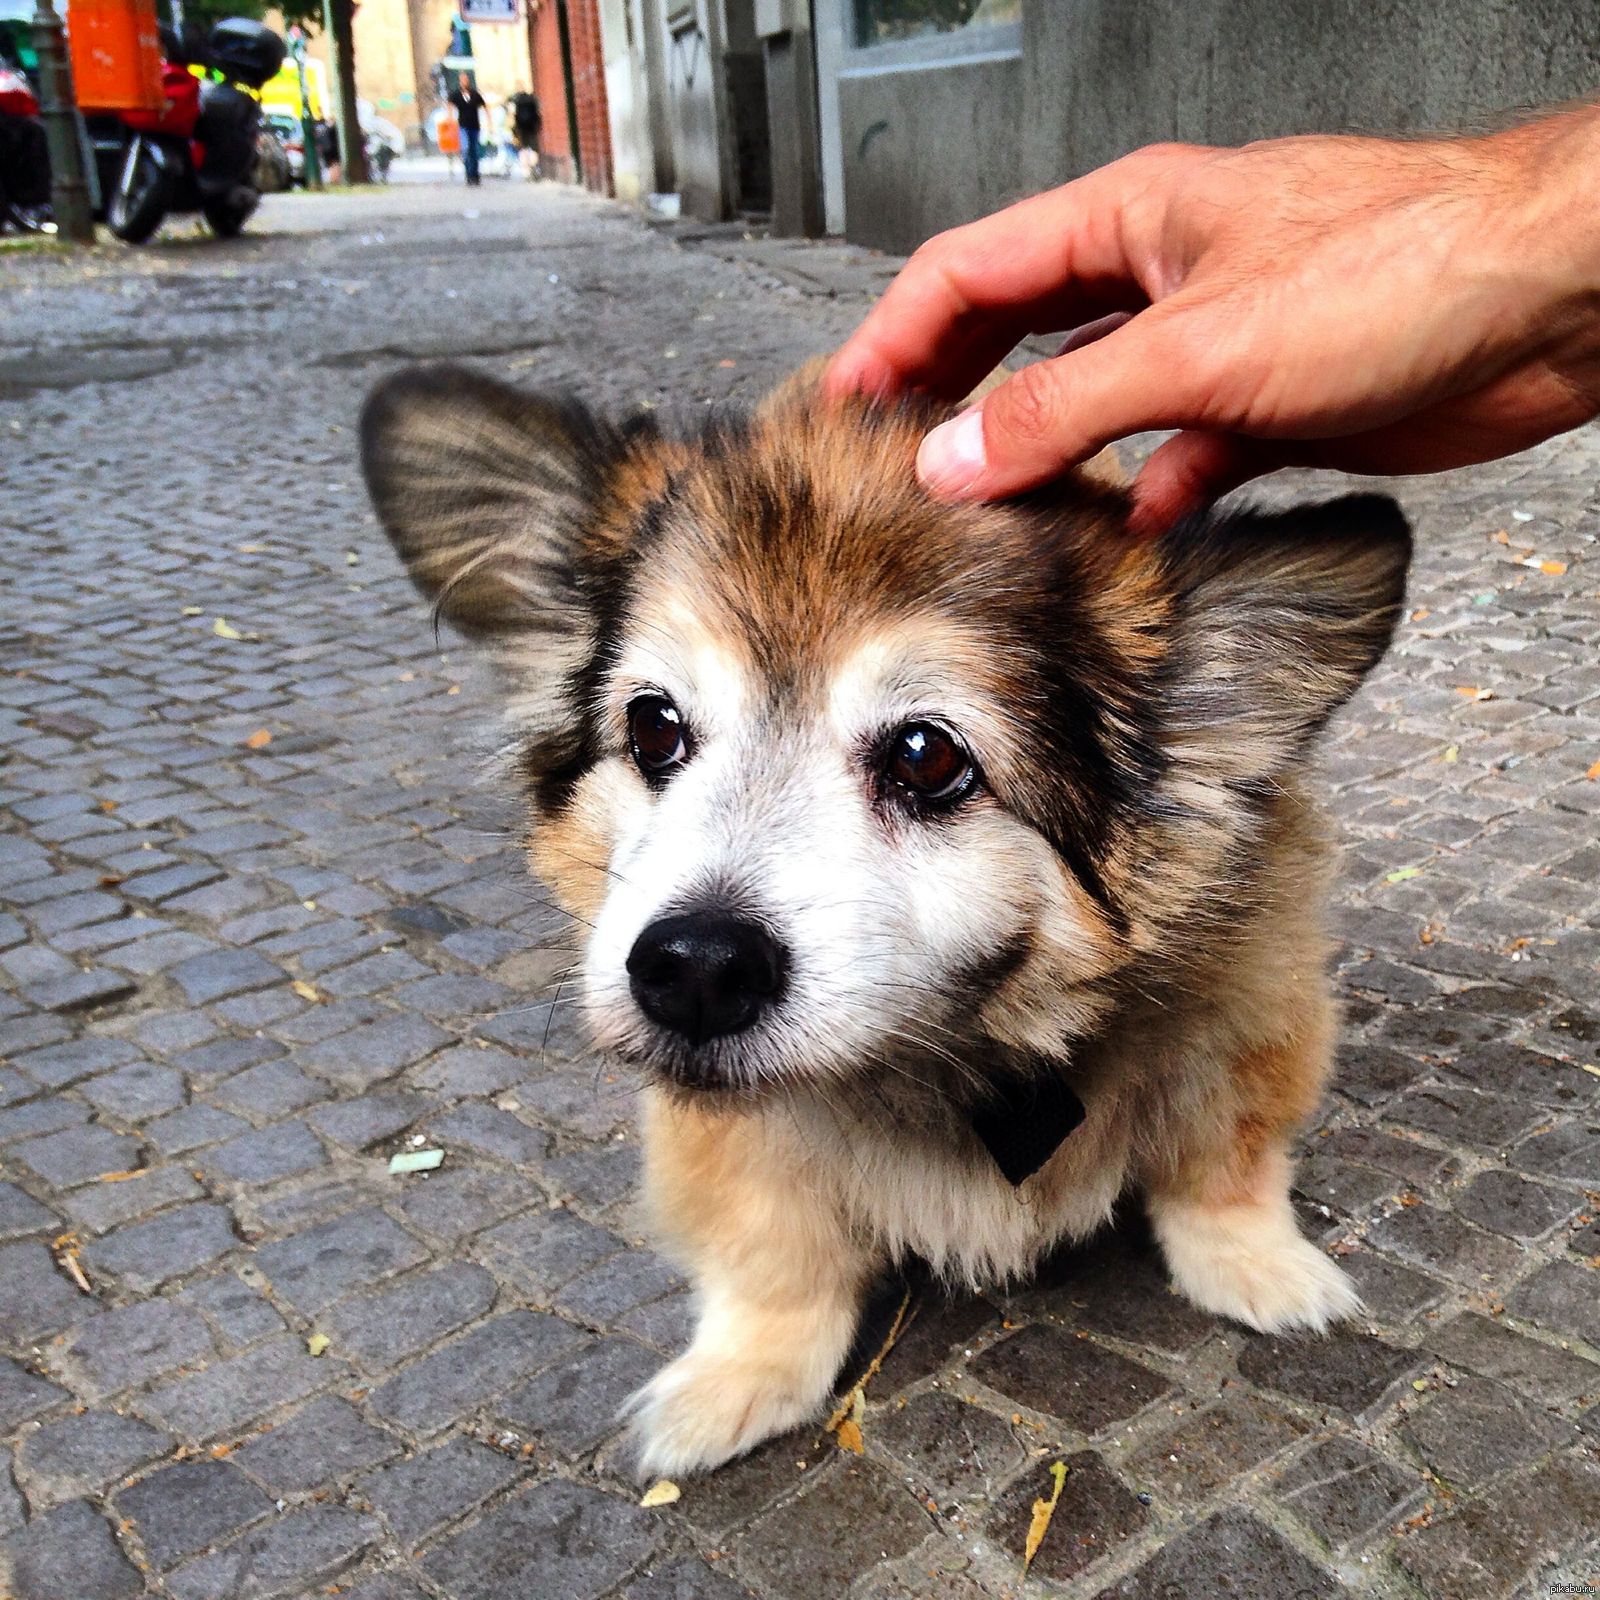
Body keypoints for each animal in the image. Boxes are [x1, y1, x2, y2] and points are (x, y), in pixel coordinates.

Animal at [363, 360, 1414, 1472]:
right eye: (653, 728)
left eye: (926, 755)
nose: (694, 969)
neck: (948, 1048)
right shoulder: (728, 1141)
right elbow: (770, 1249)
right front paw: (739, 1376)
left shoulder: (1250, 1002)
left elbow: (1226, 1159)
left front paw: (1261, 1268)